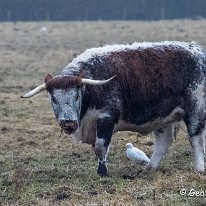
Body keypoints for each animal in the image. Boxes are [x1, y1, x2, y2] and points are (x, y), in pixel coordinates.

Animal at [21, 41, 206, 176]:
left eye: (76, 96)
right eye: (54, 99)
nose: (69, 124)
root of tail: (198, 51)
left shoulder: (106, 118)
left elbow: (100, 147)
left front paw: (102, 172)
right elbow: (97, 149)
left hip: (195, 110)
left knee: (195, 139)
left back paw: (198, 168)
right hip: (162, 117)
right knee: (163, 142)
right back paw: (150, 168)